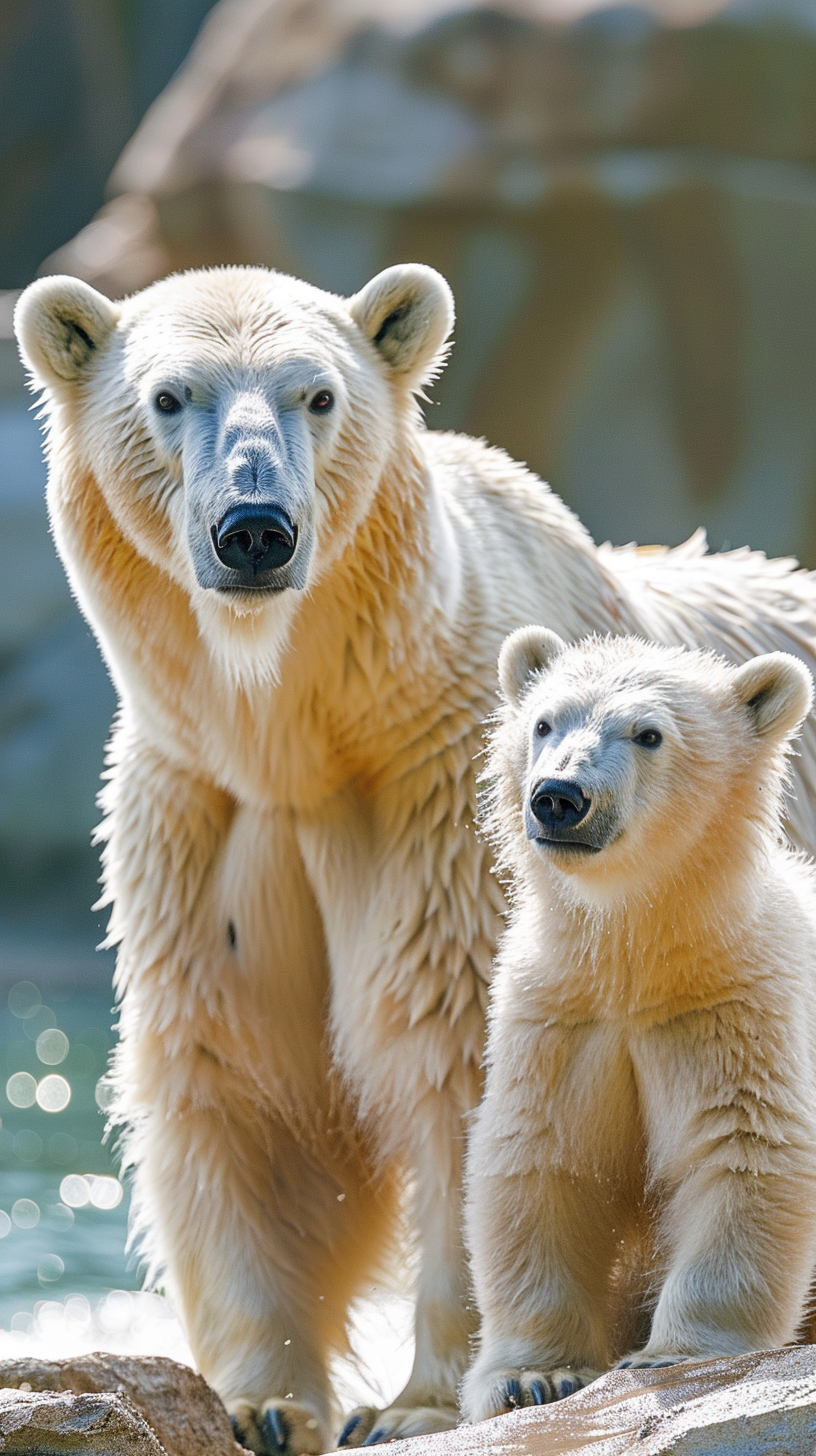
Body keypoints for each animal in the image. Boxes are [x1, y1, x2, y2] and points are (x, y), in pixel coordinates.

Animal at [14, 264, 816, 1456]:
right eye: (168, 395)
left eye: (316, 394)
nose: (256, 529)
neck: (307, 733)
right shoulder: (206, 817)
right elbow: (237, 1074)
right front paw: (263, 1402)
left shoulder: (439, 804)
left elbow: (459, 1060)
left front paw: (421, 1400)